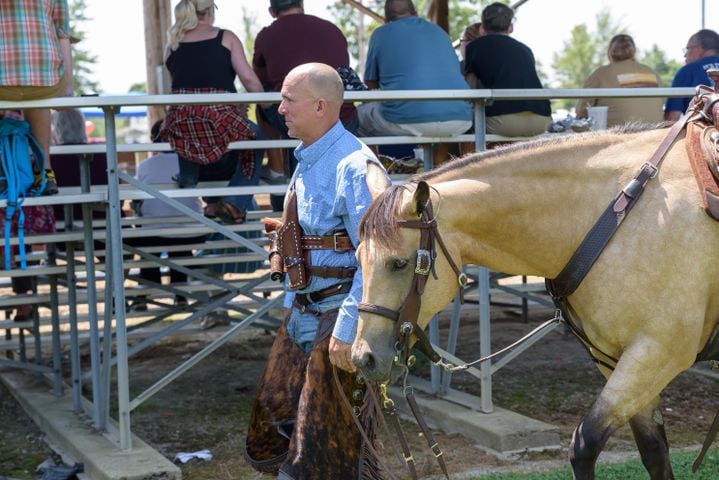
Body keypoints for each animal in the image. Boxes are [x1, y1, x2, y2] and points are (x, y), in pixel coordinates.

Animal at [348, 92, 719, 478]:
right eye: (358, 257)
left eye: (399, 263)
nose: (363, 357)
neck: (618, 212)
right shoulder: (615, 358)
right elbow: (654, 451)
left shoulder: (658, 353)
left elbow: (584, 444)